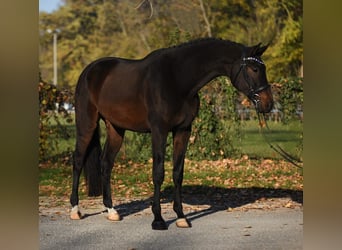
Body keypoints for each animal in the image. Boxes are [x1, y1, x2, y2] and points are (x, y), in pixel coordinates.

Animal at [71, 37, 274, 230]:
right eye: (255, 69)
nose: (268, 104)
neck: (177, 79)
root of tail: (89, 71)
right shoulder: (159, 131)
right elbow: (158, 173)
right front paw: (158, 220)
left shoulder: (183, 130)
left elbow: (178, 173)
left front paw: (181, 217)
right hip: (86, 123)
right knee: (78, 160)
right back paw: (75, 210)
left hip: (116, 128)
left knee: (106, 163)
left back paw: (112, 211)